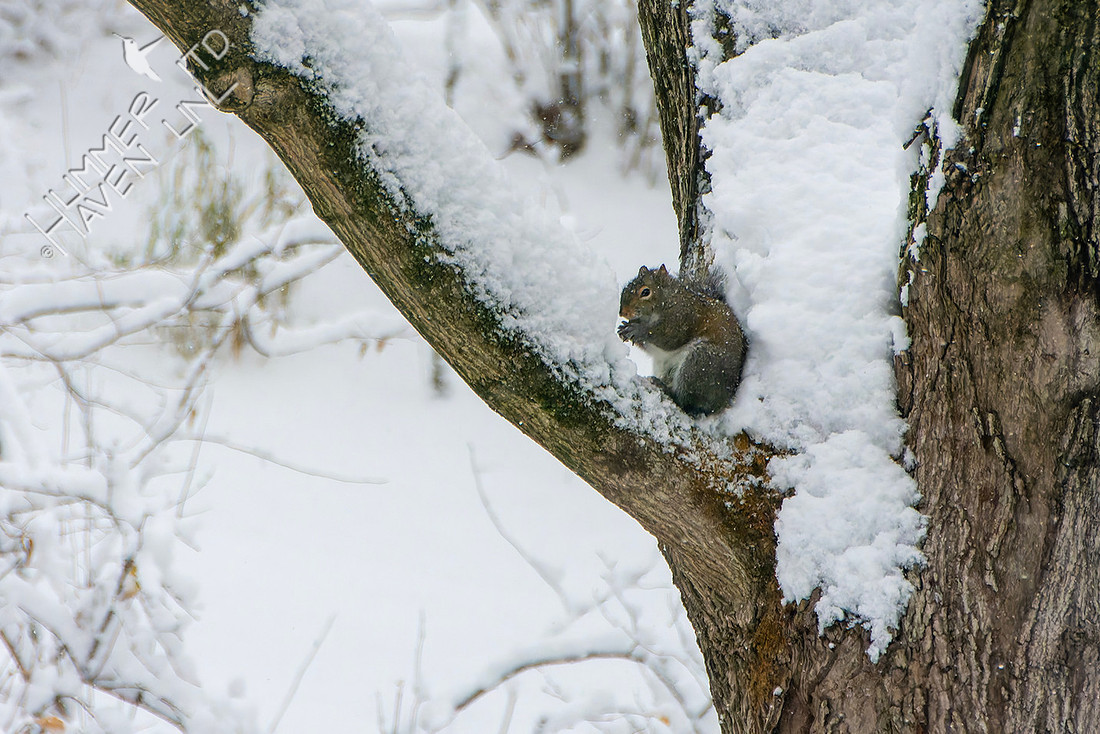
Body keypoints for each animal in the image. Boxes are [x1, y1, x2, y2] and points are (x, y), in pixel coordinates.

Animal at [617, 265, 746, 416]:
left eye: (645, 292)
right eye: (627, 287)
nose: (623, 312)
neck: (669, 299)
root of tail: (723, 399)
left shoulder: (684, 318)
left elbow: (670, 338)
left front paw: (638, 330)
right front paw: (624, 329)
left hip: (700, 363)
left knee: (686, 403)